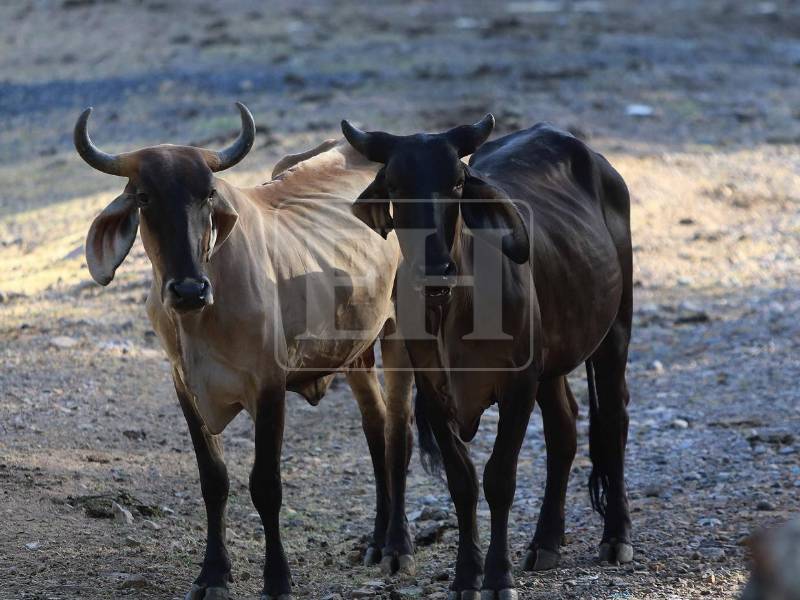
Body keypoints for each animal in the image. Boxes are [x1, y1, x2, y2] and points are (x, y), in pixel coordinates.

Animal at [74, 104, 417, 600]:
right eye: (143, 197)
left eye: (208, 195)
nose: (188, 290)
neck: (200, 319)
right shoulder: (184, 386)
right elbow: (213, 480)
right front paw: (213, 574)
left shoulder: (268, 384)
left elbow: (266, 485)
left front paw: (277, 579)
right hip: (355, 350)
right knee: (375, 425)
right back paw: (375, 540)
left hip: (403, 335)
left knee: (398, 431)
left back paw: (397, 547)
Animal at [341, 115, 634, 599]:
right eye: (395, 185)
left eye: (458, 183)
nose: (436, 271)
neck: (454, 310)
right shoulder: (433, 390)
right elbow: (462, 483)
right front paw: (465, 576)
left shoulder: (518, 385)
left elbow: (499, 480)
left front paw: (498, 578)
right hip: (552, 363)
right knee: (564, 429)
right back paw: (546, 542)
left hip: (615, 331)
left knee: (614, 418)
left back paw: (616, 535)